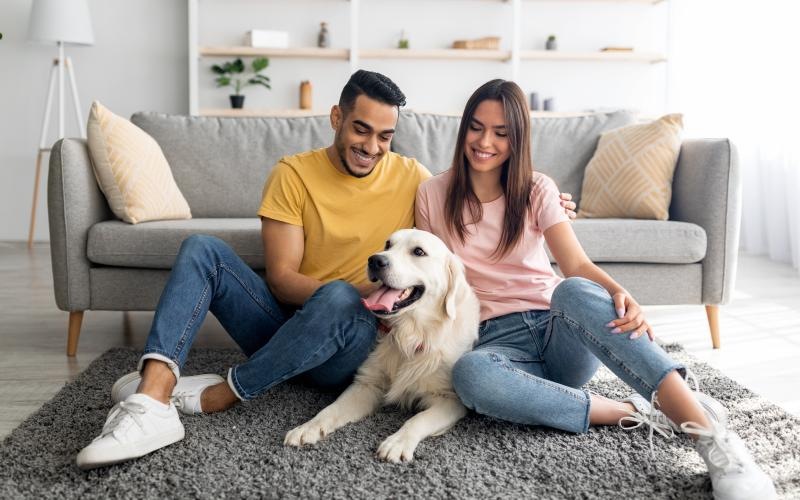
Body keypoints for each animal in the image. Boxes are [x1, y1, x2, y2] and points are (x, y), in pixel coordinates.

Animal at [284, 229, 478, 462]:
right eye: (388, 245)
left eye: (419, 251)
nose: (375, 260)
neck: (408, 334)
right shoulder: (367, 384)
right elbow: (331, 409)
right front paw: (308, 427)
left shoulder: (450, 399)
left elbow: (418, 419)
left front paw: (397, 442)